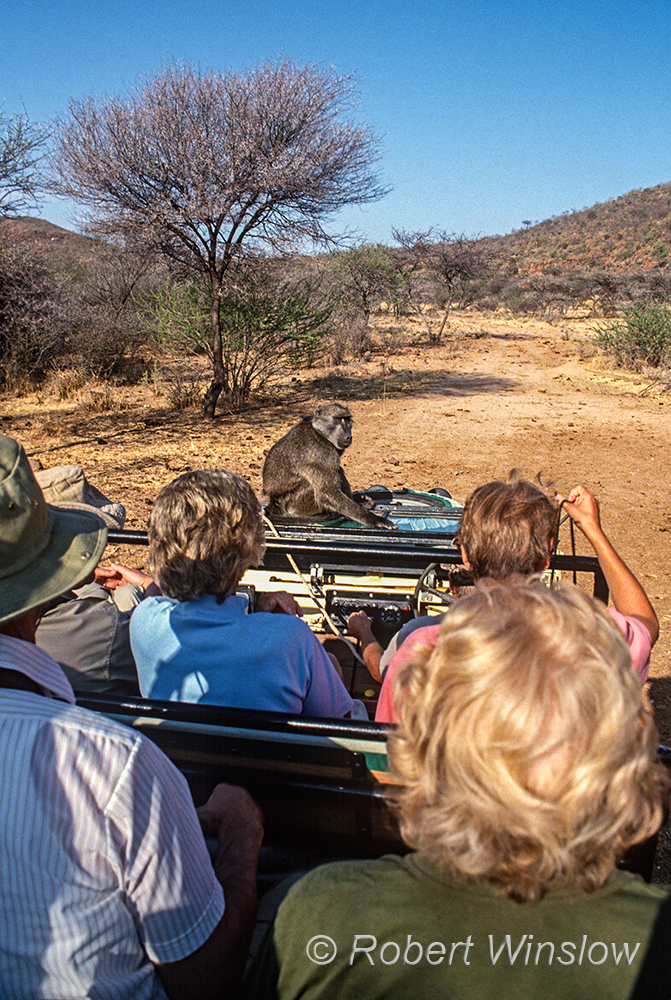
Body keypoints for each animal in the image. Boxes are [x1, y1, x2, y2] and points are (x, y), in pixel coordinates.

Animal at [262, 403, 397, 529]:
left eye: (347, 419)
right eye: (337, 419)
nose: (348, 436)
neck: (319, 433)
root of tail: (275, 501)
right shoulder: (320, 451)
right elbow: (326, 491)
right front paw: (375, 520)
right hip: (297, 504)